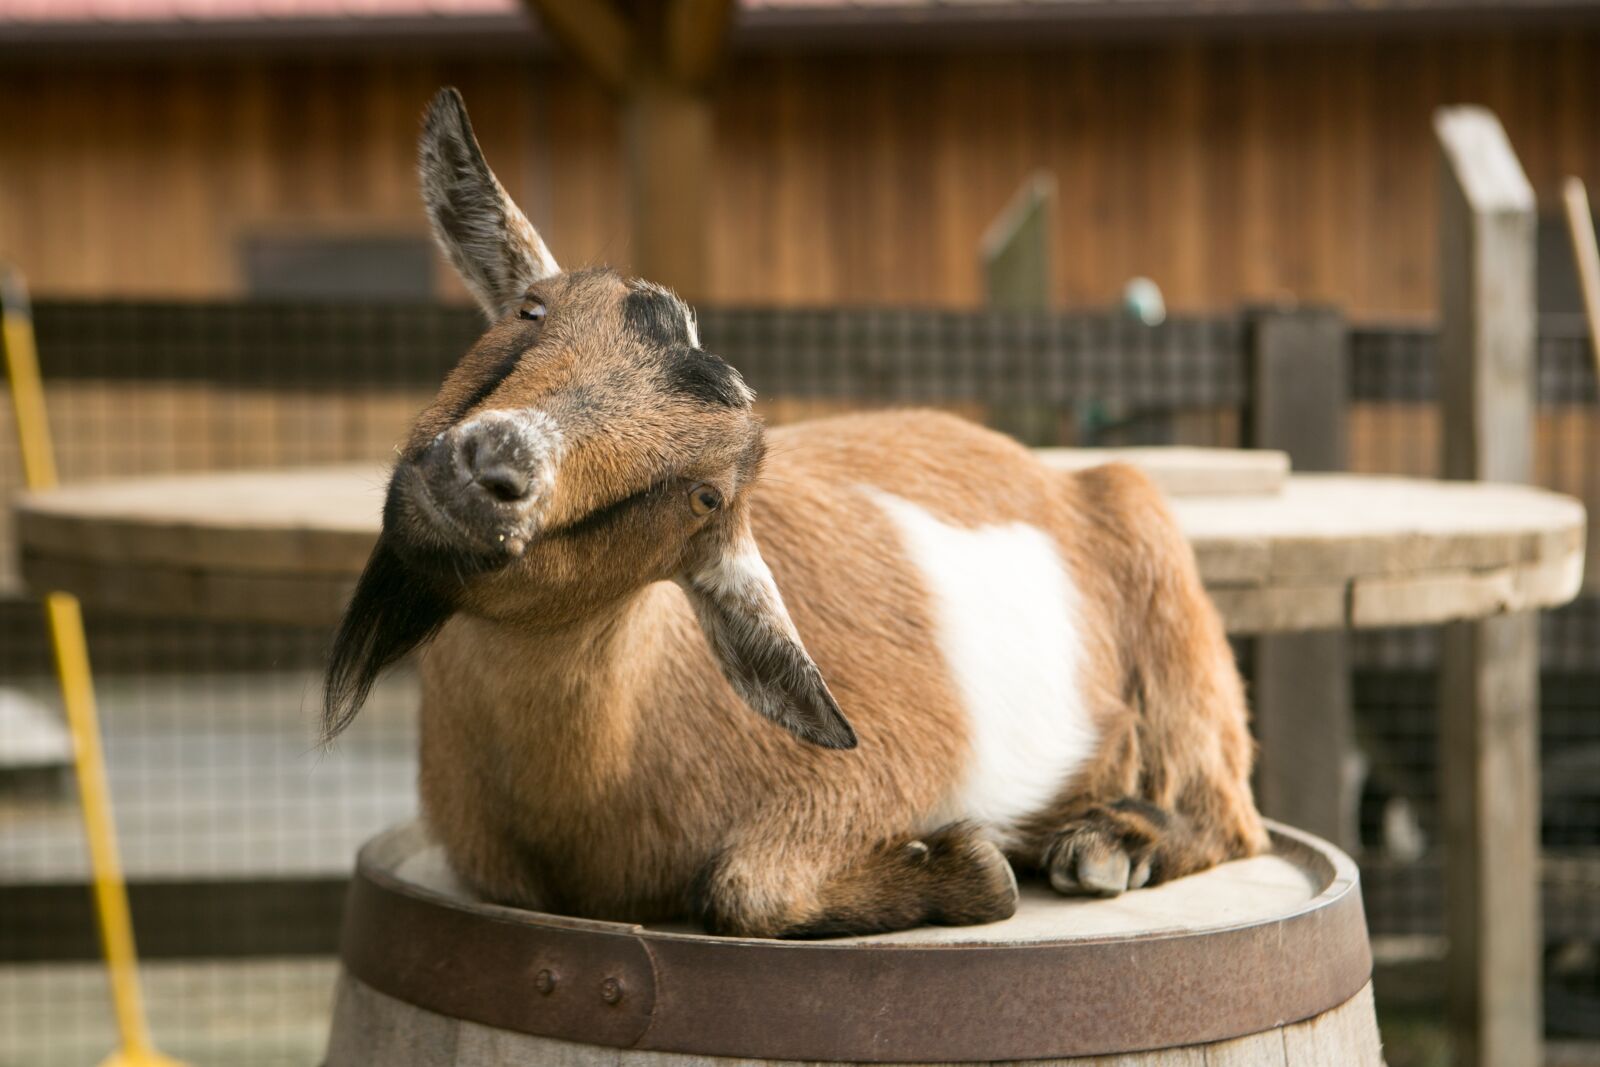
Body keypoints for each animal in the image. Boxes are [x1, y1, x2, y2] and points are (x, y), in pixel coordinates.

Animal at [323, 88, 1269, 939]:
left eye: (704, 494)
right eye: (533, 310)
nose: (492, 468)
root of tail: (1061, 477)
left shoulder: (883, 767)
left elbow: (742, 888)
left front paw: (963, 863)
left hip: (1172, 612)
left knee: (1234, 816)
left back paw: (1106, 843)